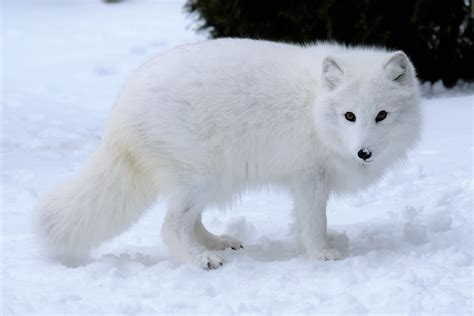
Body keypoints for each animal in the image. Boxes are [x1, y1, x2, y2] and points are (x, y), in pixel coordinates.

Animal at [37, 38, 422, 268]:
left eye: (382, 115)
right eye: (350, 116)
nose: (364, 152)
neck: (313, 106)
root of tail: (120, 112)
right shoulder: (309, 178)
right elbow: (314, 223)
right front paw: (321, 253)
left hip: (212, 180)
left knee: (191, 221)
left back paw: (217, 243)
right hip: (199, 178)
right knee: (170, 226)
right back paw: (199, 260)